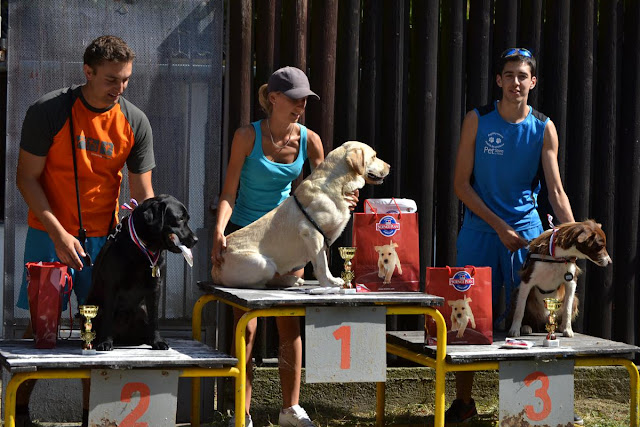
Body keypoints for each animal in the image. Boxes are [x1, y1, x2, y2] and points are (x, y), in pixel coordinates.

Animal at [86, 195, 198, 352]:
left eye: (187, 218)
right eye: (180, 218)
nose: (195, 240)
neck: (142, 248)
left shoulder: (155, 287)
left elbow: (154, 318)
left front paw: (157, 341)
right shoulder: (111, 286)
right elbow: (108, 316)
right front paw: (105, 342)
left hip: (141, 310)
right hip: (96, 308)